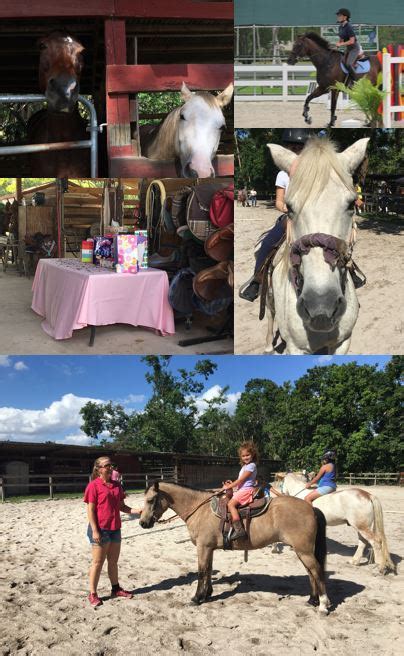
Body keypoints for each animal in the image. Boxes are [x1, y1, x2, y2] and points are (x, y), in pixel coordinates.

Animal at [140, 480, 330, 612]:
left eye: (151, 500)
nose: (142, 523)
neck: (200, 510)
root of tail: (311, 508)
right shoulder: (209, 548)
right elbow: (208, 570)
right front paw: (207, 594)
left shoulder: (202, 547)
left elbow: (201, 572)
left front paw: (197, 598)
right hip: (302, 551)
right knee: (311, 572)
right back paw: (313, 600)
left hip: (304, 551)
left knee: (317, 571)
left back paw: (323, 605)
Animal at [266, 136, 370, 356]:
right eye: (289, 208)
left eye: (351, 204)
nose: (320, 307)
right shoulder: (295, 349)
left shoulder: (342, 343)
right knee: (270, 314)